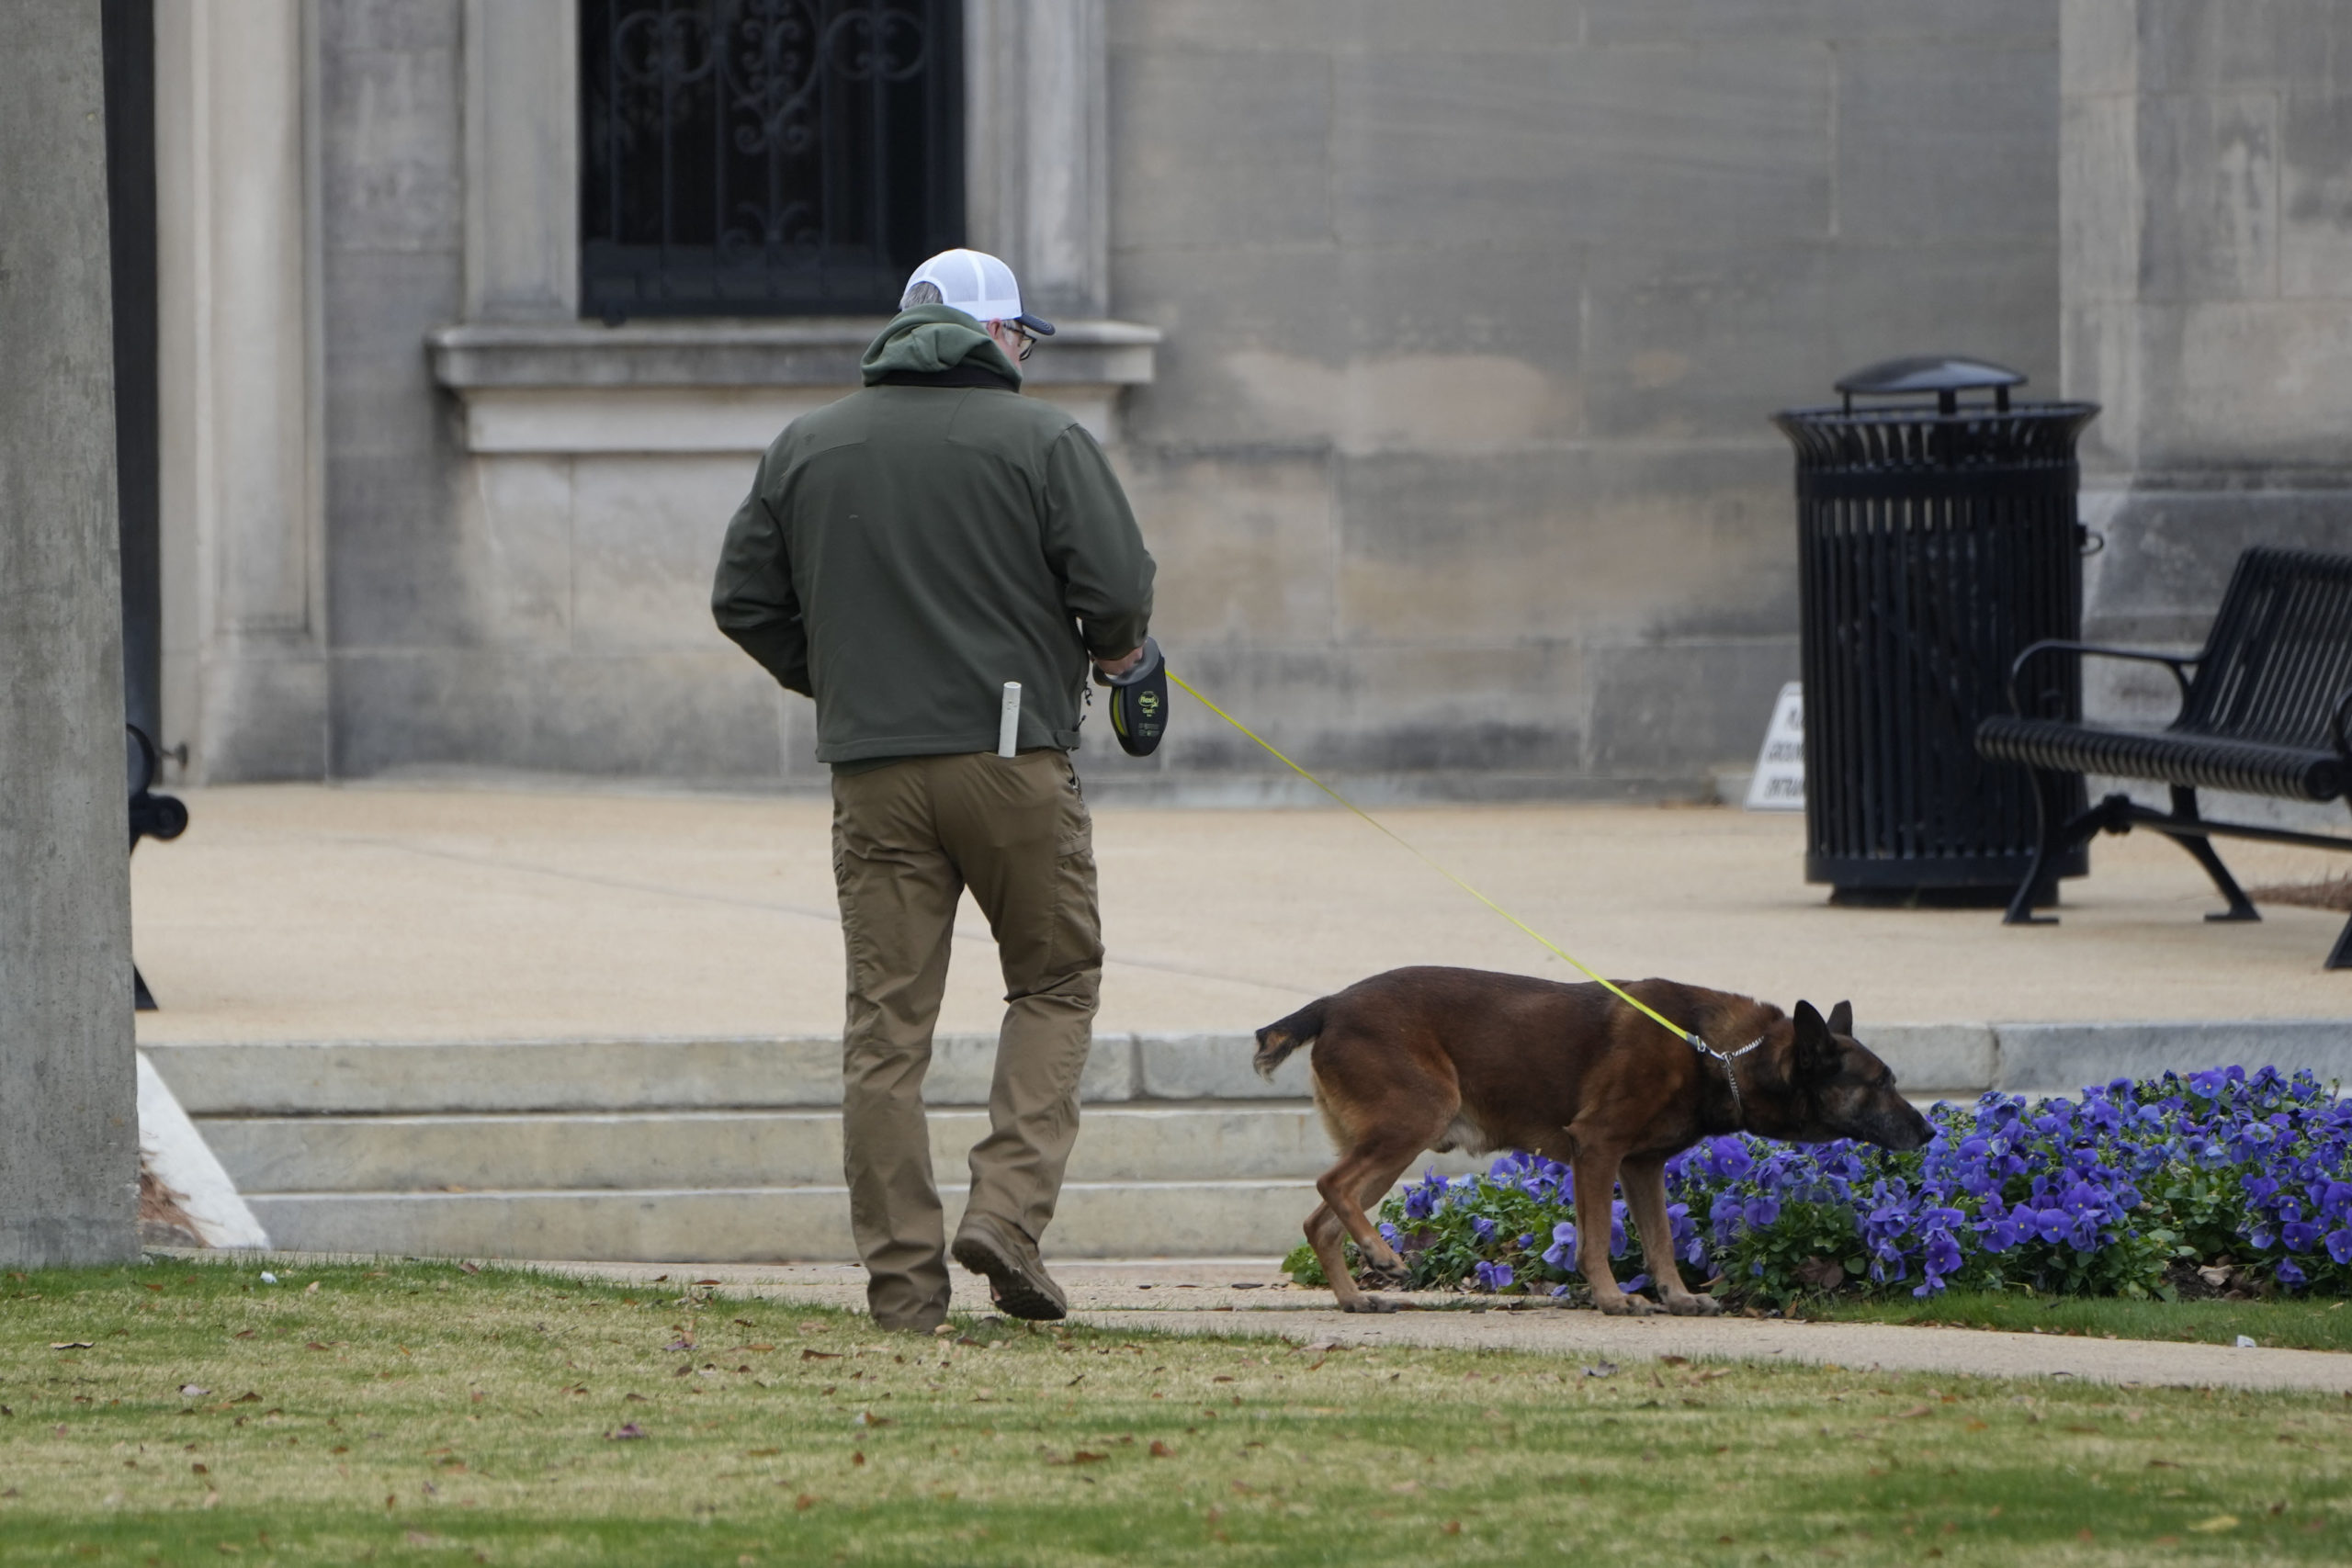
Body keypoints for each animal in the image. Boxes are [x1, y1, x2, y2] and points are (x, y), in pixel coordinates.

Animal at [1261, 968, 1938, 1316]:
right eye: (1881, 1082)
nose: (1931, 1131)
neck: (1717, 1053)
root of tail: (1329, 1005)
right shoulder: (1598, 1149)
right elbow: (1595, 1243)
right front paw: (1614, 1298)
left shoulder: (1641, 1166)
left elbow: (1661, 1240)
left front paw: (1676, 1296)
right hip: (1414, 1121)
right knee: (1331, 1185)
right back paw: (1382, 1255)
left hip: (1395, 1138)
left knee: (1319, 1220)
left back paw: (1355, 1296)